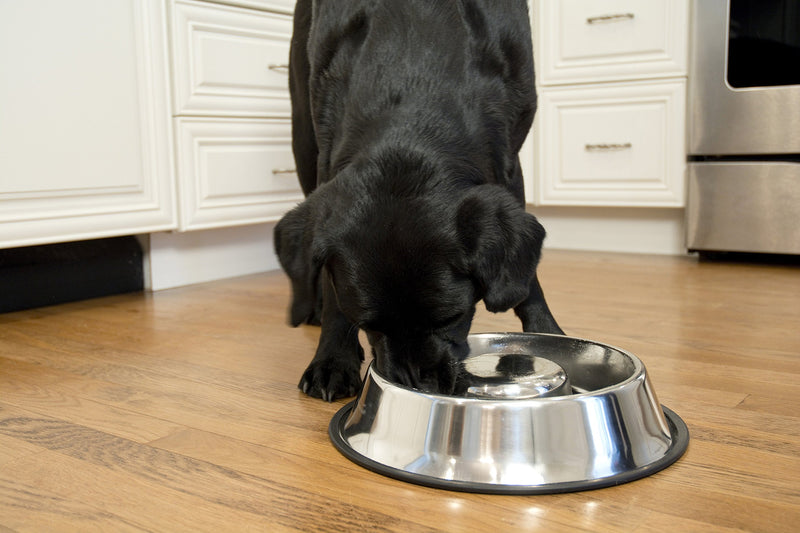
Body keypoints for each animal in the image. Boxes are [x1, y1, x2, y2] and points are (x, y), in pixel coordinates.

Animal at [276, 0, 564, 400]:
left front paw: (546, 330)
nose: (417, 386)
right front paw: (333, 359)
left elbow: (526, 275)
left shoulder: (510, 160)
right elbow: (335, 293)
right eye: (368, 324)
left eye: (452, 318)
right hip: (302, 132)